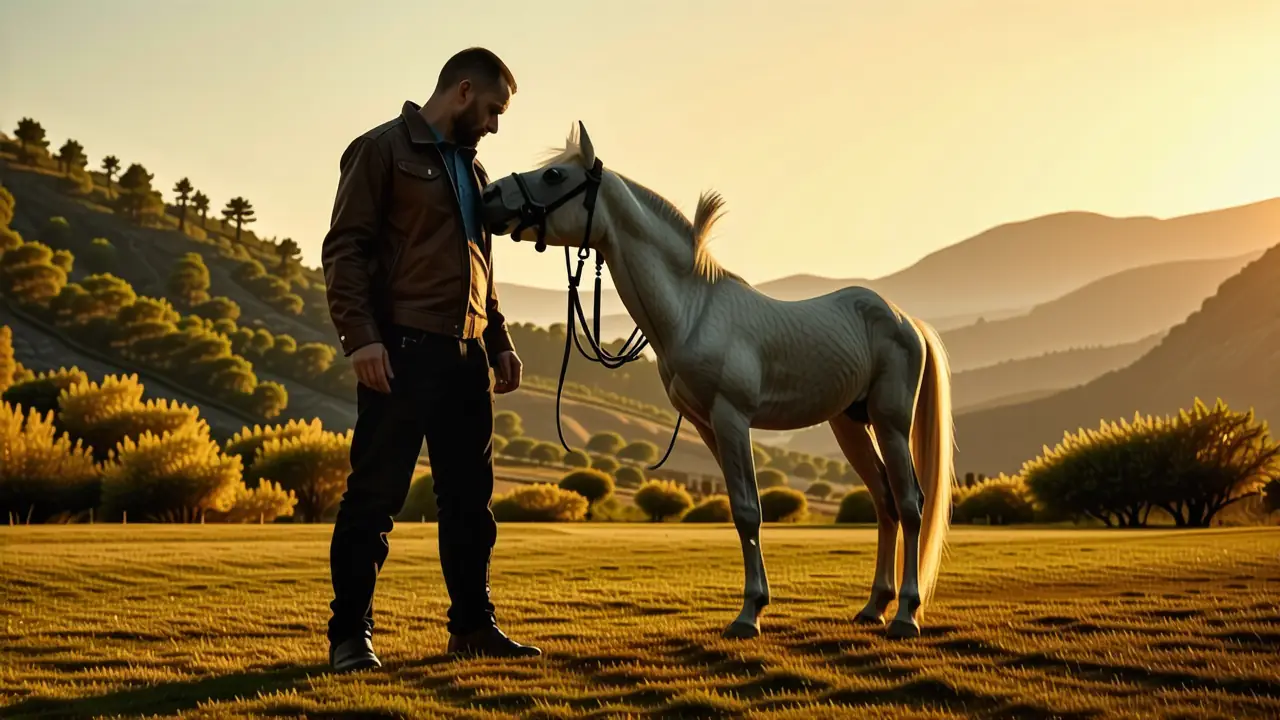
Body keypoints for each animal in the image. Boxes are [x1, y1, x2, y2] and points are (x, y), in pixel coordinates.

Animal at [479, 122, 956, 640]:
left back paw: (905, 614)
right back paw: (873, 607)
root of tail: (906, 321)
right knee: (884, 501)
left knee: (909, 504)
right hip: (850, 424)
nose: (487, 196)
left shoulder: (732, 418)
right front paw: (752, 607)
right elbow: (737, 510)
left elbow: (750, 510)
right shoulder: (707, 425)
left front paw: (749, 614)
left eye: (553, 175)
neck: (693, 312)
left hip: (890, 424)